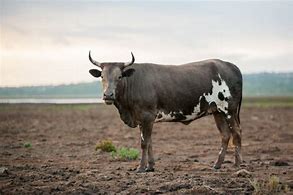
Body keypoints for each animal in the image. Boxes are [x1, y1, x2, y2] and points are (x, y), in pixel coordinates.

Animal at [88, 51, 242, 172]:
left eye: (119, 77)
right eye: (102, 76)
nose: (108, 95)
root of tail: (230, 65)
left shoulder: (147, 116)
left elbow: (144, 143)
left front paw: (141, 167)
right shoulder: (142, 119)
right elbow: (149, 142)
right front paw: (150, 166)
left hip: (229, 110)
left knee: (236, 133)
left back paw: (238, 164)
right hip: (217, 111)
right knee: (225, 135)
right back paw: (217, 164)